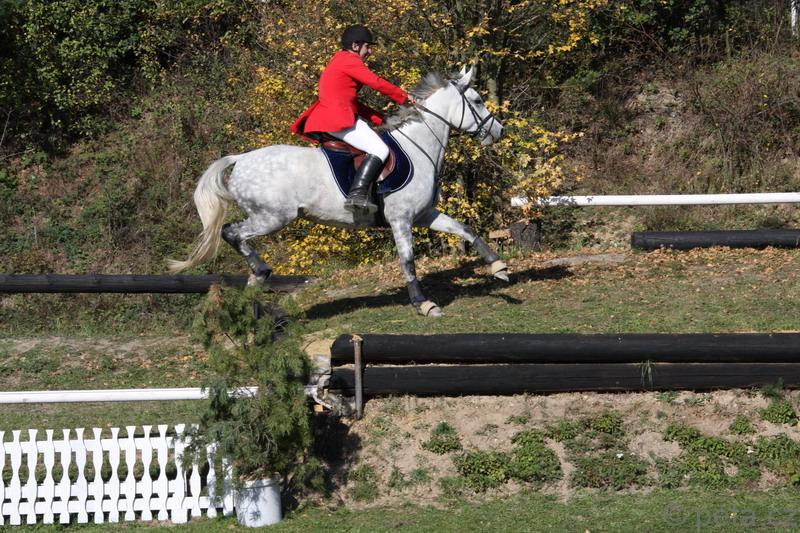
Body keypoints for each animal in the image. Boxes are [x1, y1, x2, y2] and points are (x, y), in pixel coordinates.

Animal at [169, 66, 508, 317]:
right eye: (478, 100)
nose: (499, 131)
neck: (419, 146)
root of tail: (240, 159)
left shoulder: (424, 214)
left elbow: (465, 230)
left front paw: (499, 267)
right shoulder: (401, 219)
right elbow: (408, 260)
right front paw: (423, 303)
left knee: (233, 234)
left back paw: (257, 276)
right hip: (272, 218)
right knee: (231, 232)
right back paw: (261, 271)